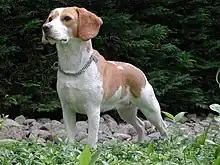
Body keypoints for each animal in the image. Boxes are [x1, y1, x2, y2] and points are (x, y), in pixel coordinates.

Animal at [41, 6, 167, 148]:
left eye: (67, 18)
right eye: (50, 19)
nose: (45, 27)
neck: (73, 67)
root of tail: (137, 70)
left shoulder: (93, 109)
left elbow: (91, 137)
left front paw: (90, 150)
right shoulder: (67, 109)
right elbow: (71, 136)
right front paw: (69, 150)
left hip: (151, 109)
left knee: (163, 127)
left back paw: (166, 143)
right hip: (126, 111)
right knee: (140, 125)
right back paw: (140, 143)